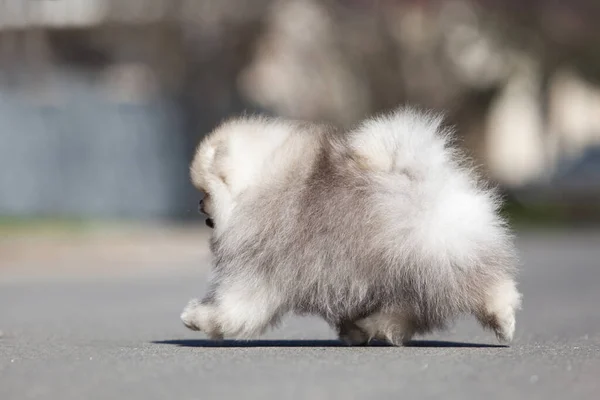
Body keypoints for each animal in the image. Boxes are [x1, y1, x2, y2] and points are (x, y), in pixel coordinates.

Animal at [182, 108, 520, 346]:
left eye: (205, 193)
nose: (198, 205)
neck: (256, 185)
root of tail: (437, 178)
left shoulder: (259, 273)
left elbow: (234, 310)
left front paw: (197, 318)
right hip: (406, 274)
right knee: (411, 311)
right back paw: (372, 327)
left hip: (437, 261)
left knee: (485, 286)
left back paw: (503, 320)